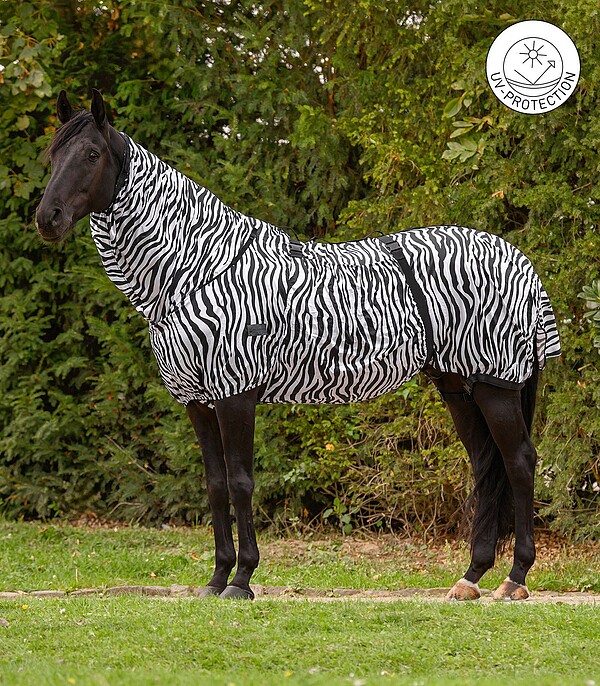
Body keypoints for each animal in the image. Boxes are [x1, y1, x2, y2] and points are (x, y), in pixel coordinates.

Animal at [36, 89, 560, 601]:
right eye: (53, 154)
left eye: (91, 154)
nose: (47, 219)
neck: (198, 268)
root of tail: (519, 260)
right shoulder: (196, 402)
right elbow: (215, 485)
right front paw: (216, 579)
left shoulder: (235, 394)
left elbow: (242, 482)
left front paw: (242, 580)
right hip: (457, 385)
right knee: (486, 466)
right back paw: (471, 577)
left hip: (495, 384)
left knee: (518, 461)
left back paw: (515, 579)